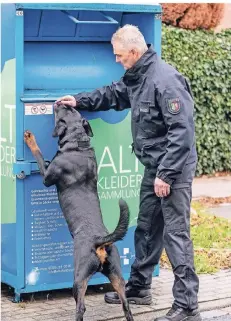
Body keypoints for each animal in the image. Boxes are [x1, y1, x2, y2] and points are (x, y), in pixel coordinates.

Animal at [23, 104, 134, 318]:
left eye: (61, 111)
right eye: (69, 108)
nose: (61, 102)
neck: (77, 144)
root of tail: (100, 241)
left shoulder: (47, 176)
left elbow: (39, 155)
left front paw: (30, 138)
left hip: (79, 277)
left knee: (81, 306)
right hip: (117, 274)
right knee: (126, 305)